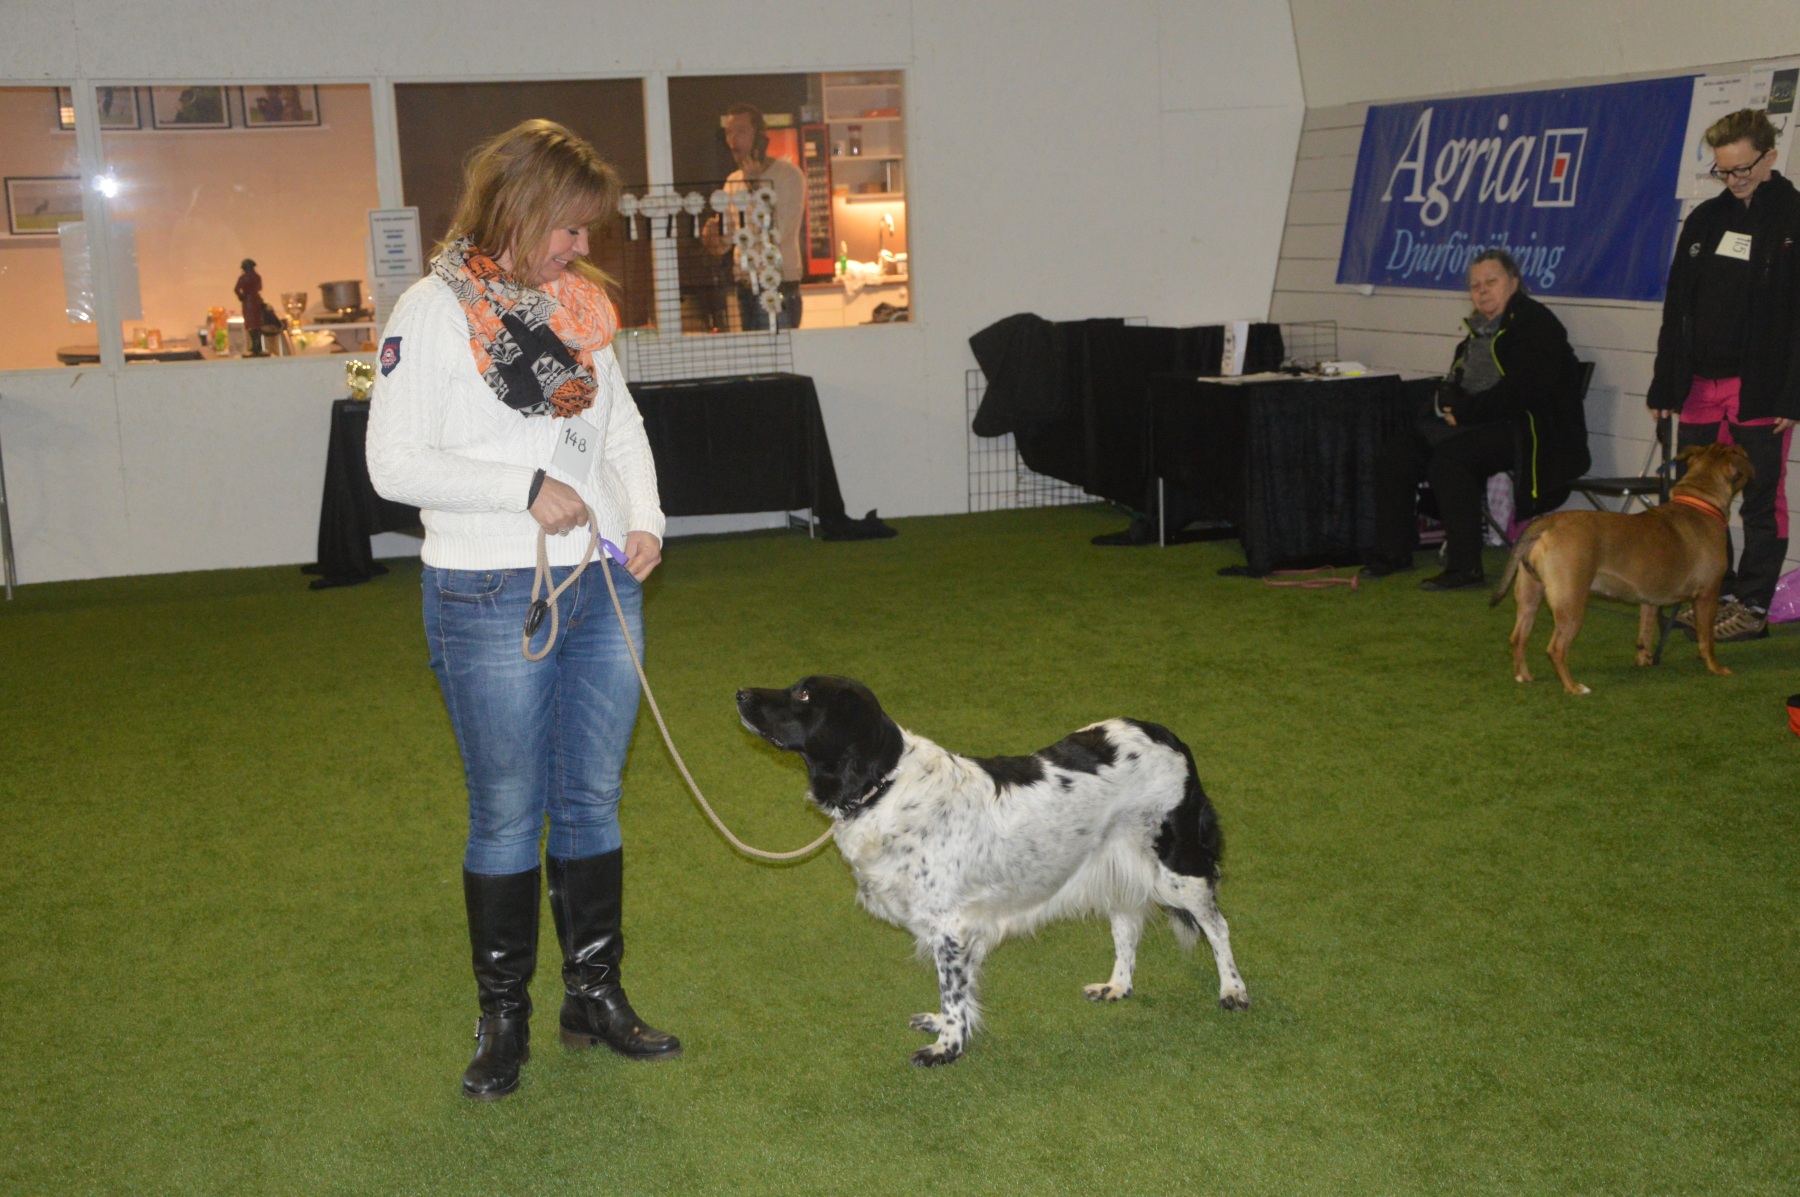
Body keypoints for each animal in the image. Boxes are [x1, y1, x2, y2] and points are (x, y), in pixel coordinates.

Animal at [735, 676, 1249, 1066]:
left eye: (804, 695)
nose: (740, 693)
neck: (886, 784)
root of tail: (1169, 736)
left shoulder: (951, 925)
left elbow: (952, 991)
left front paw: (946, 1046)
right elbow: (957, 990)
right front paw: (944, 1029)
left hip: (1176, 865)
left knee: (1217, 926)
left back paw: (1233, 990)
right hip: (1115, 858)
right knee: (1126, 926)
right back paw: (1116, 987)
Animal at [1491, 442, 1753, 696]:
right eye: (1740, 453)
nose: (1748, 455)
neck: (1702, 500)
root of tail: (1547, 522)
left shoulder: (1650, 599)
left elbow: (1645, 632)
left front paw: (1643, 660)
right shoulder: (1709, 593)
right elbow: (1706, 638)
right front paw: (1715, 668)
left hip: (1529, 595)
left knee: (1518, 638)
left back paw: (1523, 676)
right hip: (1571, 602)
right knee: (1556, 649)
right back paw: (1573, 688)